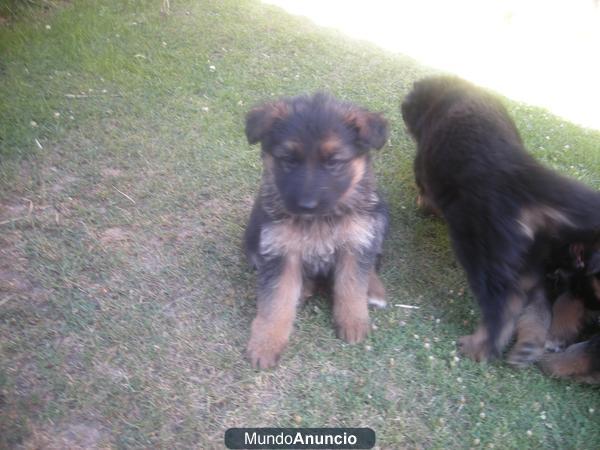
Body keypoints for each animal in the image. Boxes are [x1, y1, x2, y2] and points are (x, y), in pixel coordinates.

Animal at [244, 92, 390, 370]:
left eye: (333, 162)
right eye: (289, 160)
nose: (306, 205)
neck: (320, 220)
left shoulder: (356, 241)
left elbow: (352, 285)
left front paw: (354, 322)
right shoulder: (279, 251)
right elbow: (276, 301)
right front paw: (266, 343)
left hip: (377, 221)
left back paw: (375, 290)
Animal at [400, 75, 600, 366]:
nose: (402, 107)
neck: (450, 94)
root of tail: (523, 173)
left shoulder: (425, 167)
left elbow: (425, 193)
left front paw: (424, 206)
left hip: (482, 249)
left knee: (504, 305)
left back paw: (480, 346)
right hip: (531, 261)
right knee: (534, 302)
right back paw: (528, 345)